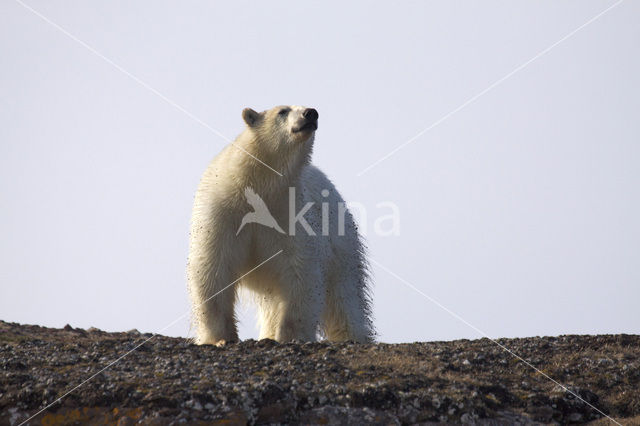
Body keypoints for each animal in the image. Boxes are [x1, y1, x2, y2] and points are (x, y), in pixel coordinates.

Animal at [185, 105, 376, 344]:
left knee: (344, 298)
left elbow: (300, 272)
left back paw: (353, 336)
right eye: (283, 111)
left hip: (342, 245)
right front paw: (220, 338)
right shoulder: (223, 212)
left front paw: (291, 336)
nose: (311, 113)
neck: (259, 186)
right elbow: (214, 268)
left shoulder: (290, 213)